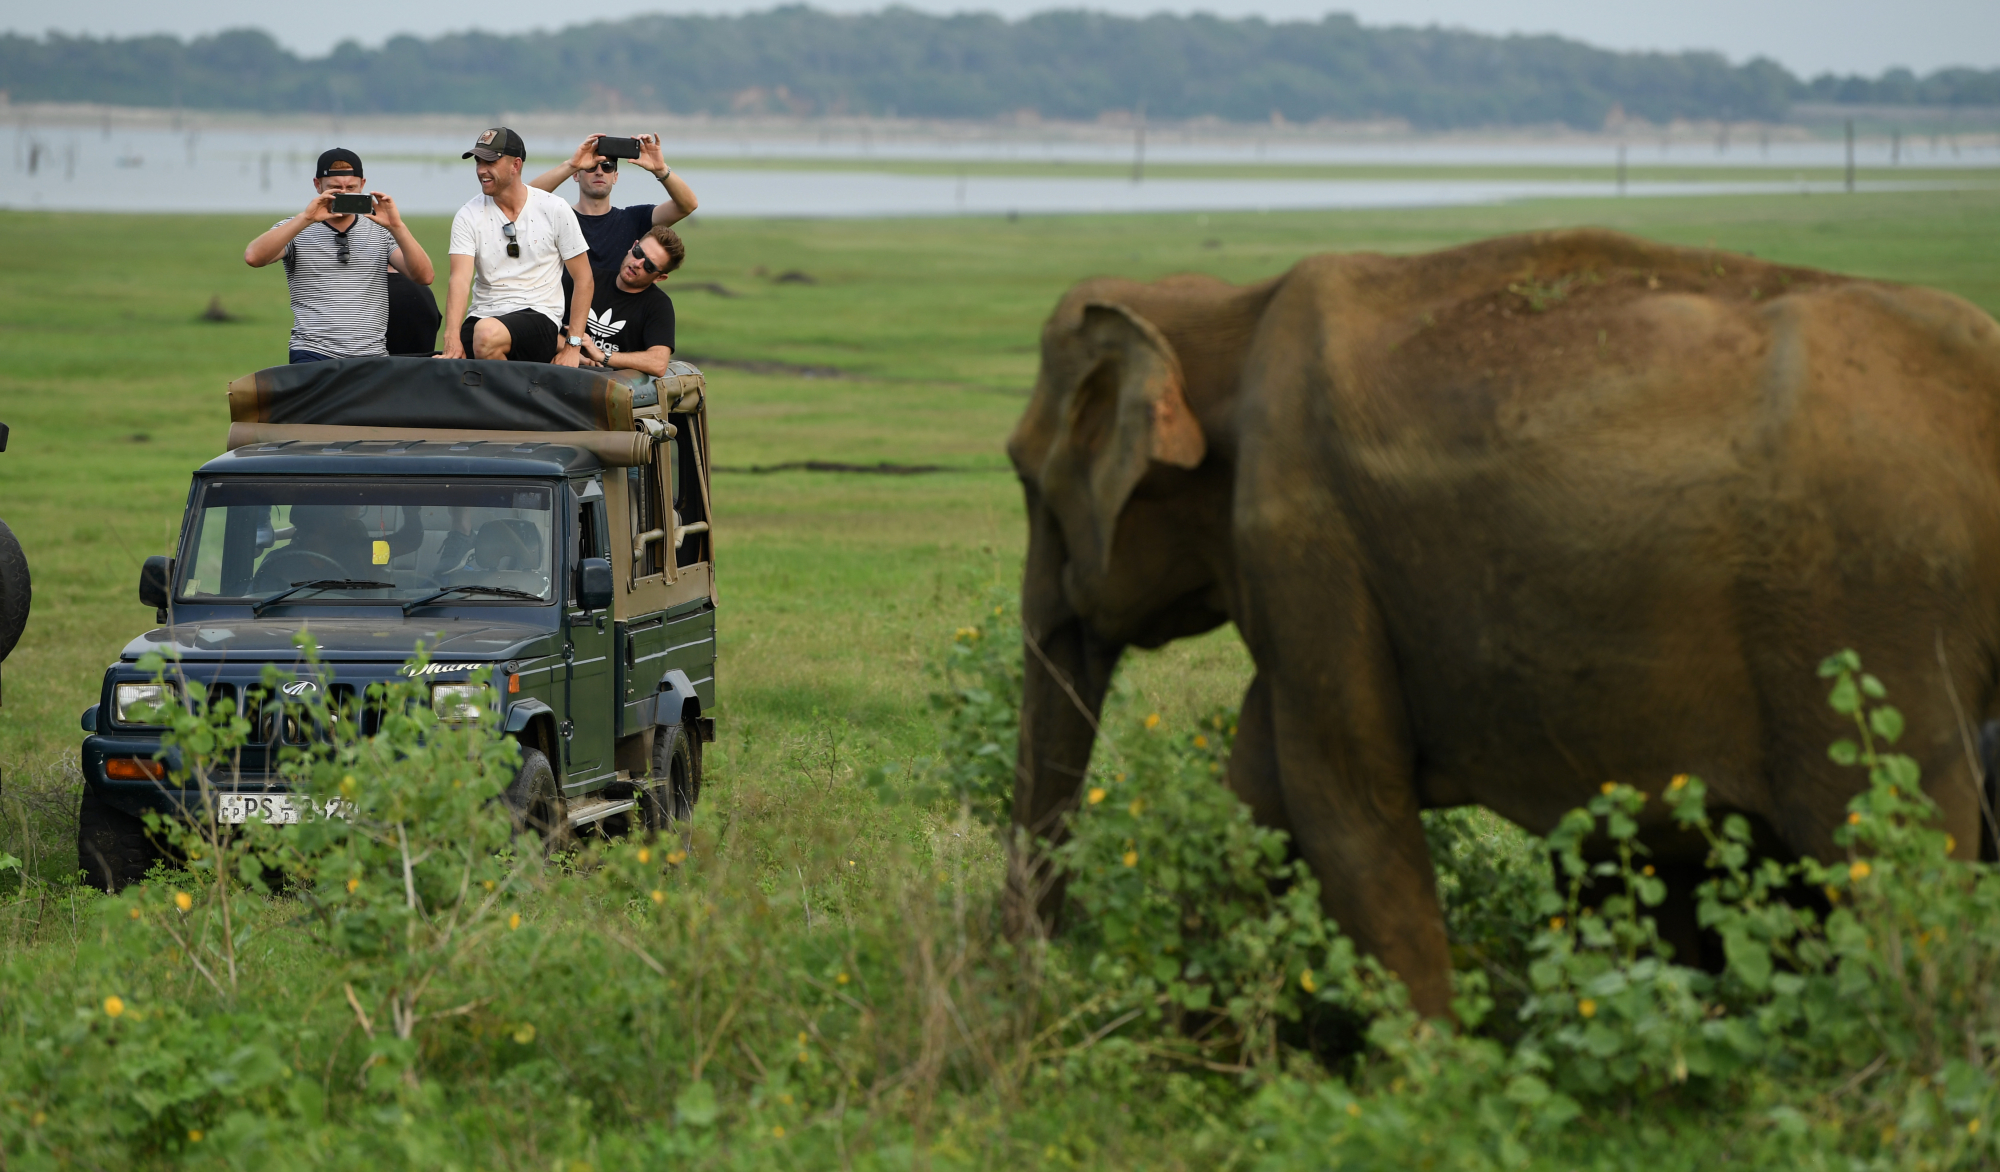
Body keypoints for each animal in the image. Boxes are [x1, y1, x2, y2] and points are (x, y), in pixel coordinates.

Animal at [1005, 227, 2000, 1018]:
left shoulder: (1300, 538)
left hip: (1871, 619)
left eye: (1019, 472)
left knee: (1884, 864)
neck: (1223, 313)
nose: (1034, 996)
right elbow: (1256, 795)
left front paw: (1431, 1085)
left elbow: (1343, 798)